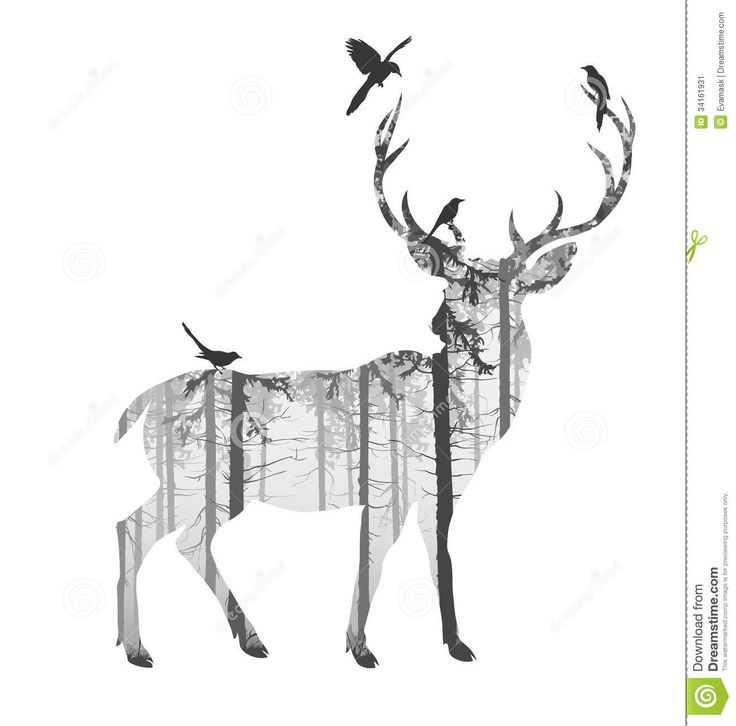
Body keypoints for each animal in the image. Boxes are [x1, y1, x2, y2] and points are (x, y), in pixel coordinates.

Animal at [113, 84, 635, 669]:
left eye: (515, 292)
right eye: (449, 290)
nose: (469, 336)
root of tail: (136, 406)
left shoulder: (434, 488)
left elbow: (436, 553)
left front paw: (453, 643)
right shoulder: (393, 477)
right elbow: (382, 554)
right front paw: (363, 648)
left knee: (165, 534)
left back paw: (237, 639)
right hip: (187, 473)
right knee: (148, 531)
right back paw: (146, 648)